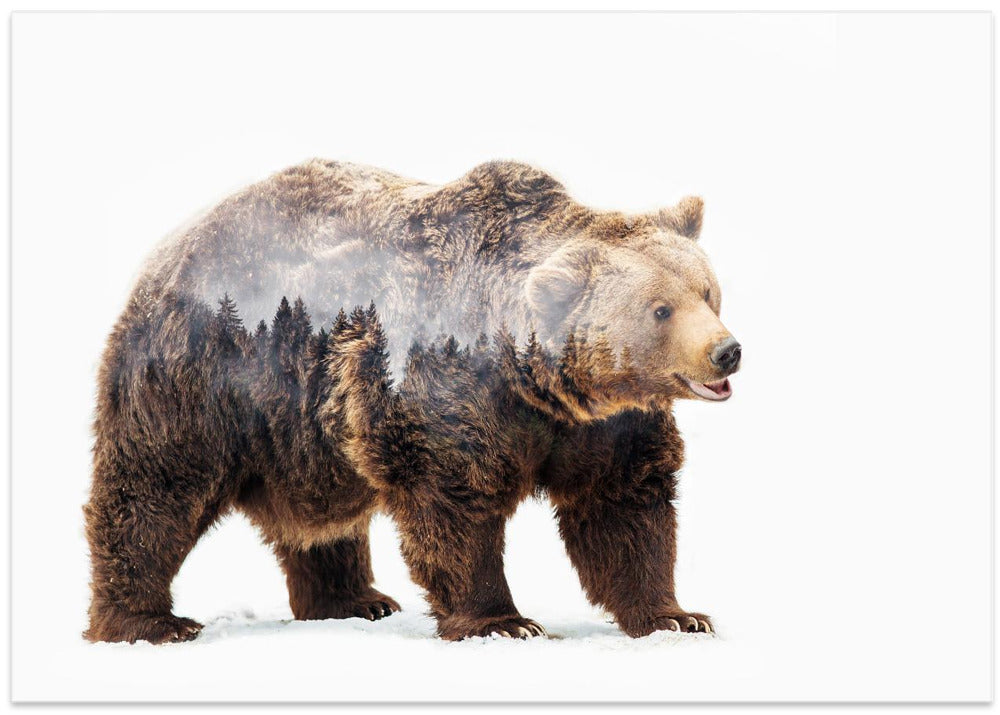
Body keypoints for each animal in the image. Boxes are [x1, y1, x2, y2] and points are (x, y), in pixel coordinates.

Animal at [83, 160, 741, 643]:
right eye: (660, 309)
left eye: (708, 292)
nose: (726, 352)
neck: (537, 382)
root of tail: (168, 248)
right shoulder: (444, 388)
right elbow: (454, 502)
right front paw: (504, 622)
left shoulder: (603, 426)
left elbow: (624, 507)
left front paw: (676, 615)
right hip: (204, 375)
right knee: (156, 488)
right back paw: (148, 621)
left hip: (304, 430)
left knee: (321, 521)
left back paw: (354, 600)